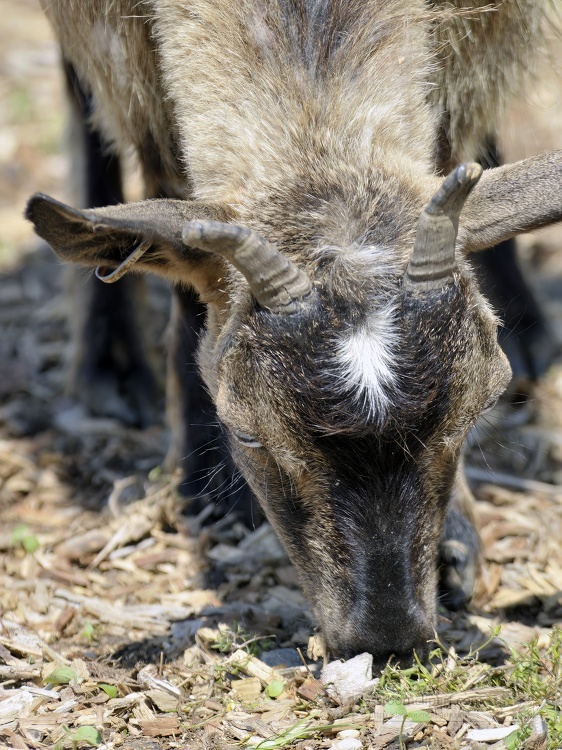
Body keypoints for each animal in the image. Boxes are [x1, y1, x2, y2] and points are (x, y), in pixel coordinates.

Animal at [25, 1, 560, 668]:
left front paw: (456, 542)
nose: (387, 642)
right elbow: (168, 185)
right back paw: (112, 369)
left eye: (479, 407)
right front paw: (208, 479)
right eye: (246, 433)